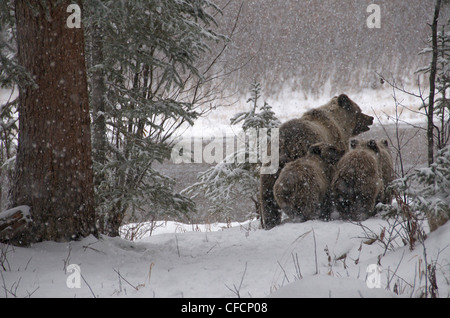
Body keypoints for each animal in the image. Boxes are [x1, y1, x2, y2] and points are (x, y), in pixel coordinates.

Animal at [260, 94, 372, 229]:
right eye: (359, 110)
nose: (371, 118)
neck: (340, 124)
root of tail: (285, 144)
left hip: (270, 168)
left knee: (268, 201)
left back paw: (270, 223)